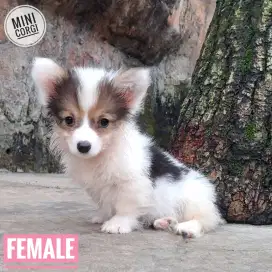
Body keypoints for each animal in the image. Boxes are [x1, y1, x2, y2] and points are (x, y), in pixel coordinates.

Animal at [31, 58, 223, 238]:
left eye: (104, 122)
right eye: (69, 120)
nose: (83, 146)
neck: (103, 153)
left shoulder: (132, 183)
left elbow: (126, 207)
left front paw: (117, 224)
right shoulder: (97, 188)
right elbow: (104, 204)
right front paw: (103, 216)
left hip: (193, 201)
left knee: (204, 219)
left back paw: (187, 227)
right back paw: (163, 222)